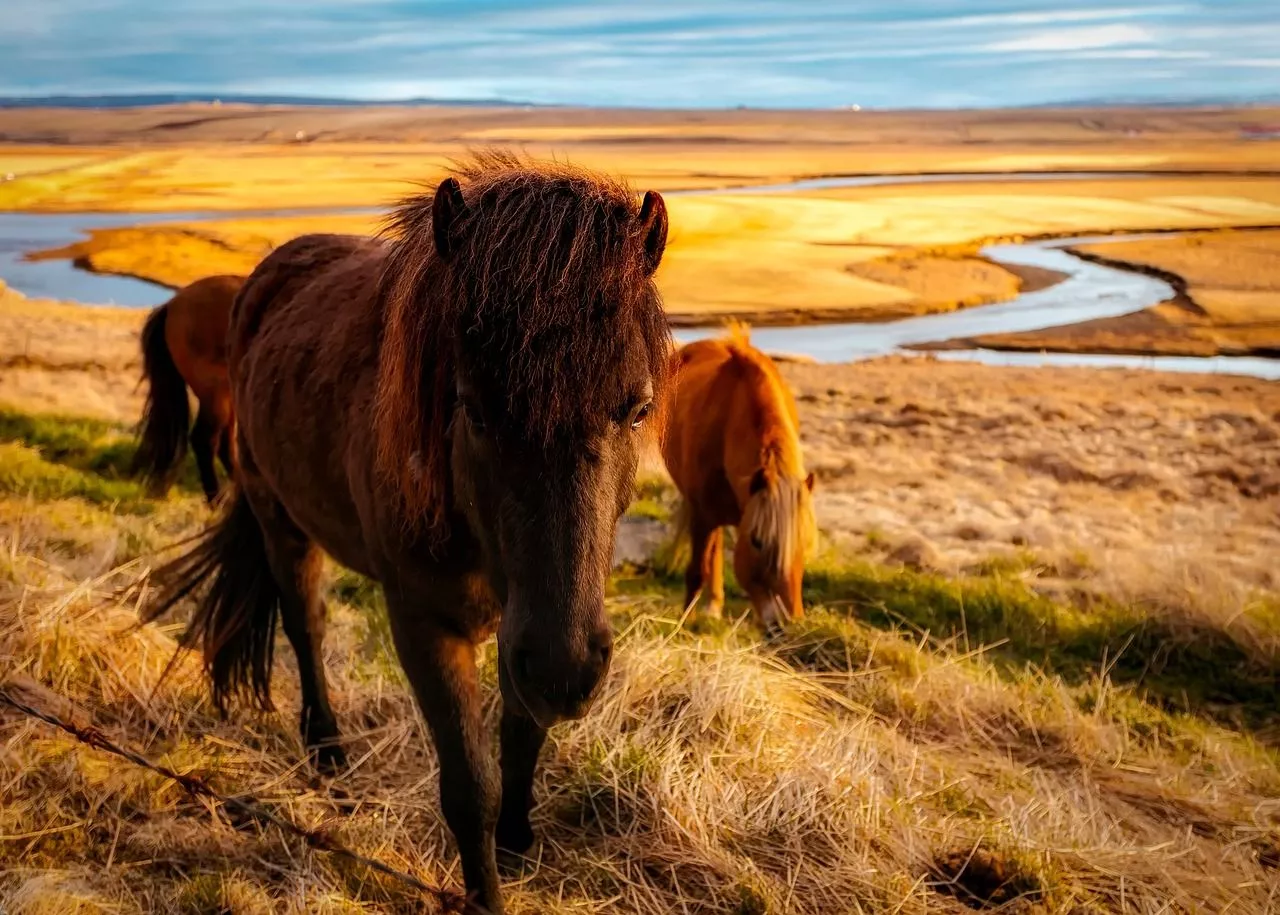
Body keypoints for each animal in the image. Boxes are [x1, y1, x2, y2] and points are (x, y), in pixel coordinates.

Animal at [661, 325, 816, 631]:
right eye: (757, 541)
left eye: (804, 543)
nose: (787, 625)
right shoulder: (703, 515)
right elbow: (697, 571)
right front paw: (683, 624)